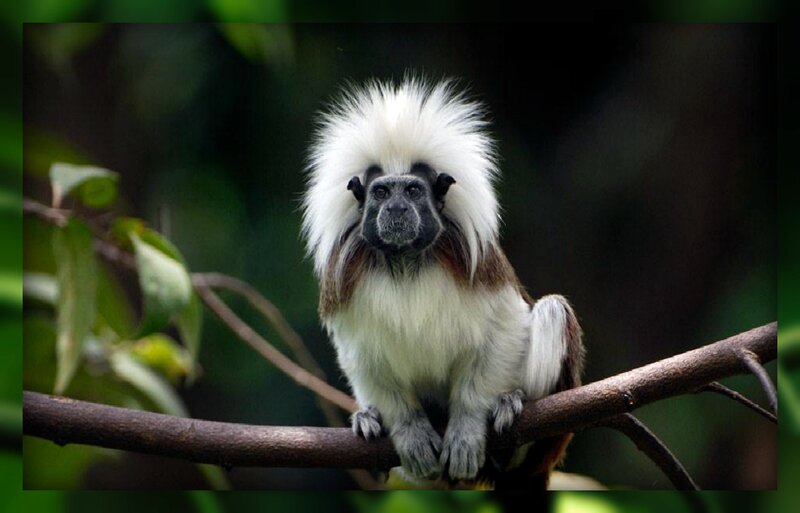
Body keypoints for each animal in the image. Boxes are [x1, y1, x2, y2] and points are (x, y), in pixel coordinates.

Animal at [301, 77, 584, 488]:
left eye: (413, 191)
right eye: (381, 193)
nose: (397, 209)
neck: (406, 262)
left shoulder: (477, 264)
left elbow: (505, 324)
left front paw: (467, 426)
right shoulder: (344, 277)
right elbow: (360, 353)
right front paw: (408, 430)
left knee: (552, 310)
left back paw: (513, 418)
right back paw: (369, 418)